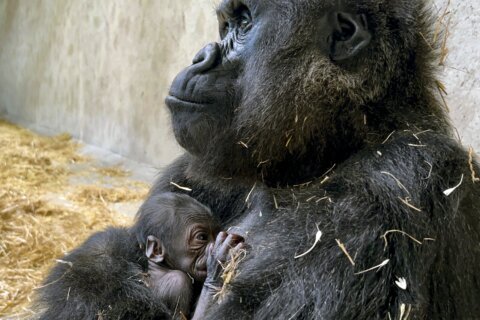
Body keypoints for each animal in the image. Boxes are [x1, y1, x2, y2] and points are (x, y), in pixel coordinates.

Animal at [35, 192, 242, 320]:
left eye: (216, 232)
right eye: (202, 237)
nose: (212, 245)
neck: (159, 268)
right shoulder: (179, 281)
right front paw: (218, 265)